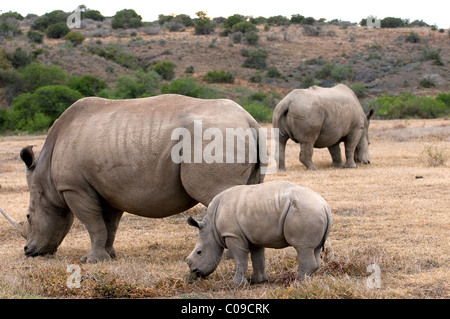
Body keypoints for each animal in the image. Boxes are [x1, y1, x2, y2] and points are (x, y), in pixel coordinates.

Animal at [185, 181, 330, 286]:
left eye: (199, 252)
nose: (194, 272)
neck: (211, 227)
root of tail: (324, 205)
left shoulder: (233, 234)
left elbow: (240, 259)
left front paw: (236, 284)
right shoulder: (254, 235)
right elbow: (258, 257)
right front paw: (257, 281)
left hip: (306, 211)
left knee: (302, 247)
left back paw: (297, 283)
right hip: (311, 211)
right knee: (315, 249)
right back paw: (308, 280)